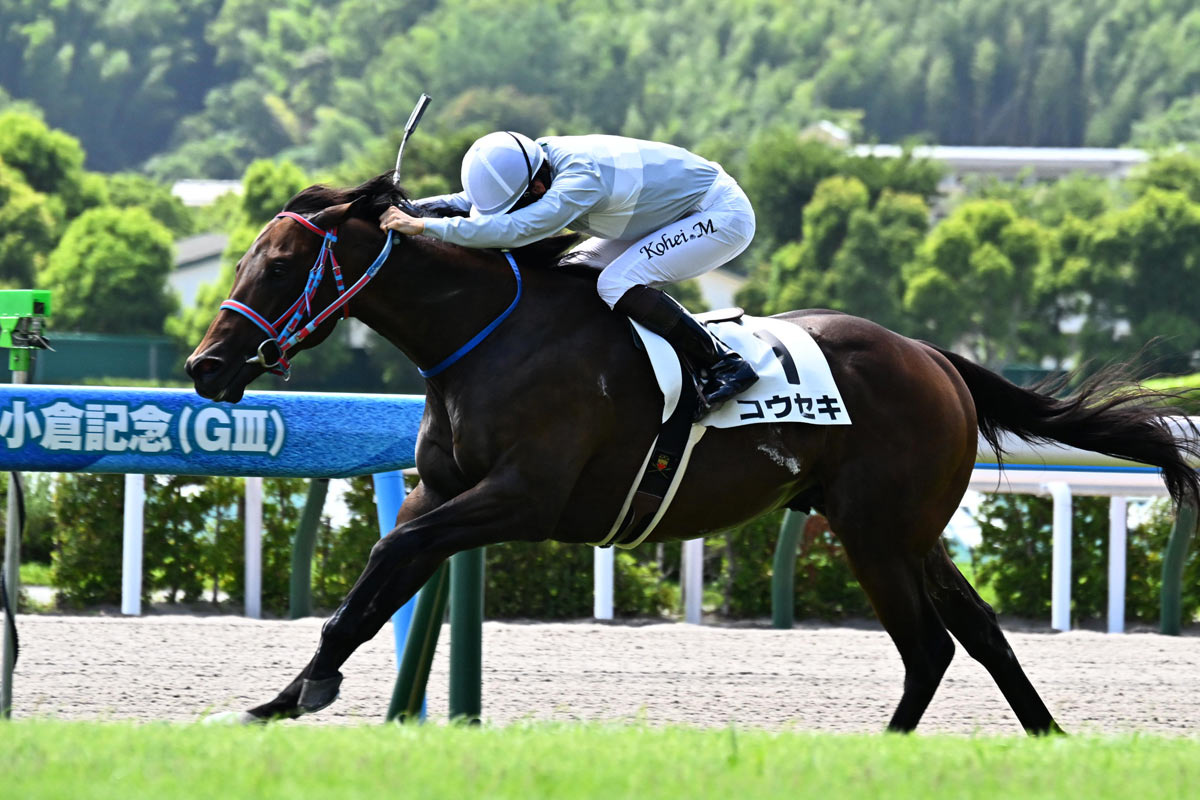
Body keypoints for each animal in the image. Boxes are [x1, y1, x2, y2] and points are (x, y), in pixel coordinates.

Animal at [186, 172, 1200, 733]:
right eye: (242, 262)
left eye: (281, 265)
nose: (205, 369)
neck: (490, 335)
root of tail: (935, 357)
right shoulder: (437, 492)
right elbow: (371, 585)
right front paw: (286, 695)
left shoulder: (523, 497)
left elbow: (392, 560)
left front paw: (306, 689)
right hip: (909, 532)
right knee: (979, 635)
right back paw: (1047, 738)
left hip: (875, 534)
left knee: (928, 647)